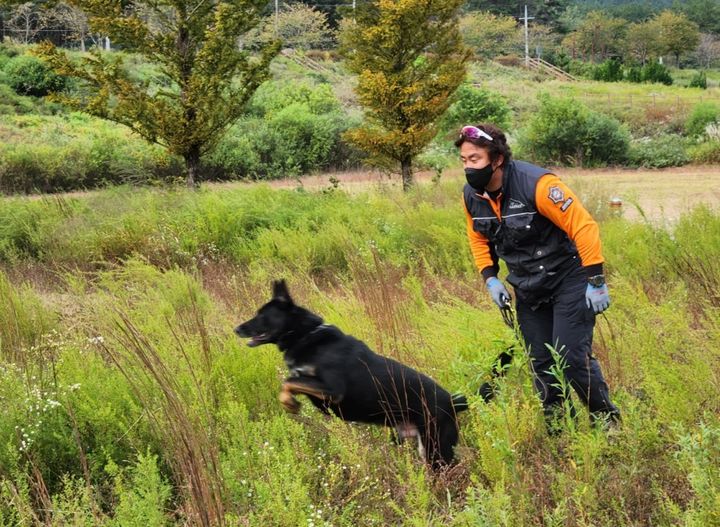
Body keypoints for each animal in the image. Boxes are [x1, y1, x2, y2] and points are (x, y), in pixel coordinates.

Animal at [236, 282, 472, 468]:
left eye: (263, 315)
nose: (236, 329)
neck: (306, 334)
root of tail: (453, 402)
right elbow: (294, 380)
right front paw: (290, 402)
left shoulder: (333, 390)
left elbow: (289, 381)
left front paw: (289, 403)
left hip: (435, 449)